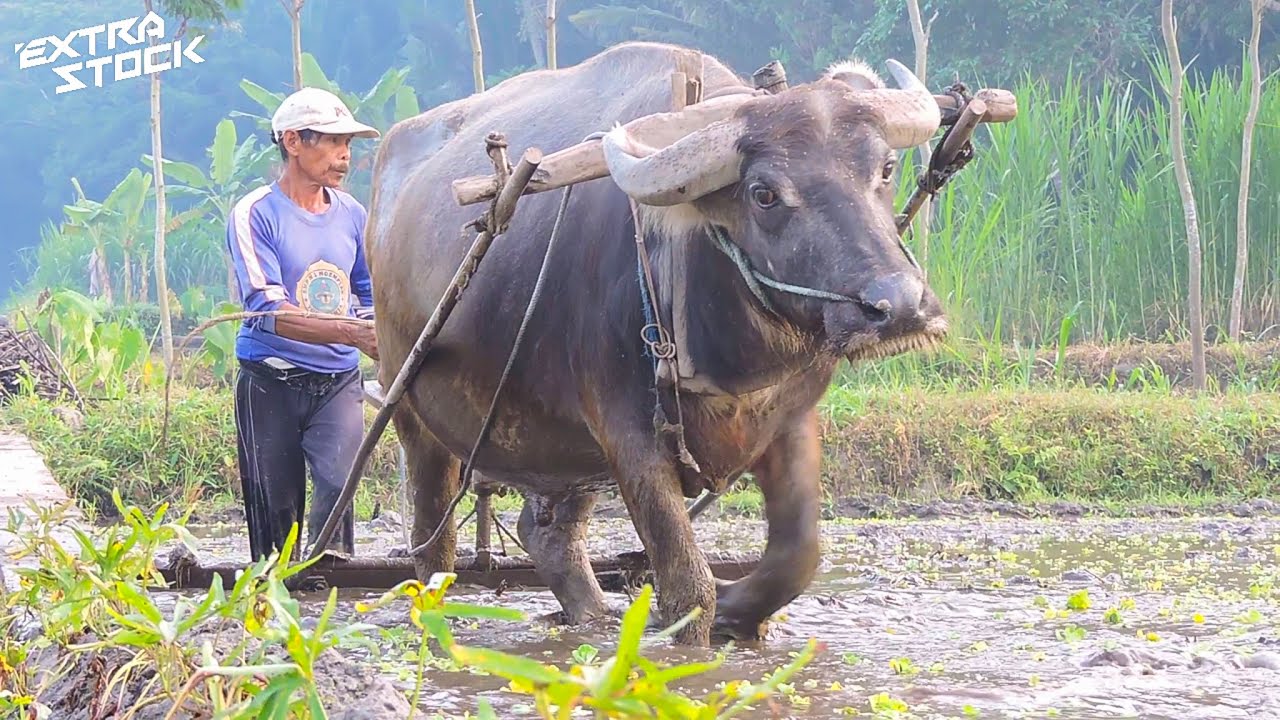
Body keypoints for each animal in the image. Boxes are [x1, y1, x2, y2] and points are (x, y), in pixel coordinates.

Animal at [366, 40, 947, 645]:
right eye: (764, 193)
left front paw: (739, 611)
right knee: (432, 538)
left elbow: (798, 556)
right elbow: (688, 587)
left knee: (548, 533)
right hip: (409, 405)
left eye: (885, 168)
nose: (899, 306)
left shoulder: (790, 418)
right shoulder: (630, 437)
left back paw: (592, 619)